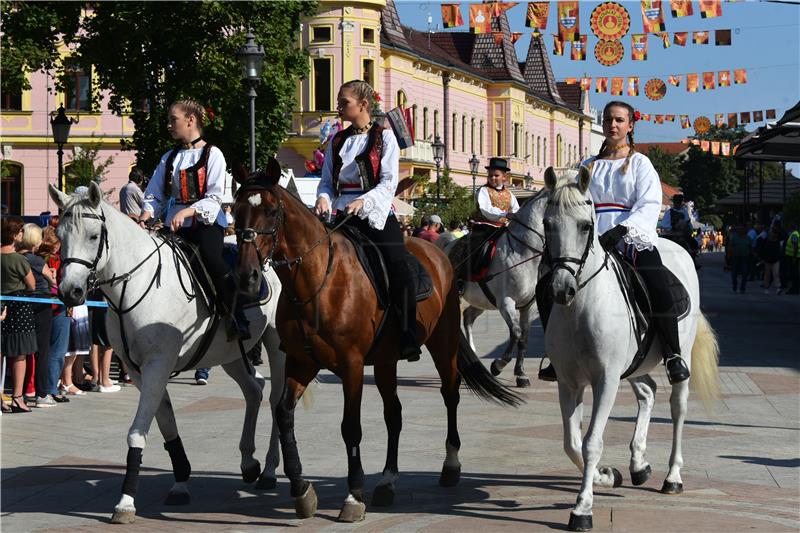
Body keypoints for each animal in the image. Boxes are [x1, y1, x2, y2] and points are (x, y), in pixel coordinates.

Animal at [49, 184, 288, 524]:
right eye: (60, 234)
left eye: (94, 236)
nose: (70, 292)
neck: (135, 286)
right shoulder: (139, 370)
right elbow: (166, 423)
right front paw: (181, 481)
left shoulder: (157, 365)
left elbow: (137, 432)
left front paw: (125, 501)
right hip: (230, 354)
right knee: (254, 390)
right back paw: (248, 462)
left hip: (277, 346)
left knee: (277, 400)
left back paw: (267, 470)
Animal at [233, 157, 520, 520]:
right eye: (236, 211)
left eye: (271, 212)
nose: (247, 277)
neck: (318, 281)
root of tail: (438, 251)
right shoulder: (302, 361)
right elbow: (284, 415)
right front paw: (302, 490)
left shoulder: (352, 365)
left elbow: (350, 427)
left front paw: (353, 496)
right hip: (385, 360)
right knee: (393, 414)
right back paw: (387, 481)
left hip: (442, 343)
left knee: (450, 394)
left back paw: (450, 465)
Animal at [444, 189, 552, 384]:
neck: (523, 252)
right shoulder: (506, 302)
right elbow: (516, 333)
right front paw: (498, 366)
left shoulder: (528, 306)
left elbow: (524, 338)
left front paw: (521, 373)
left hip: (482, 301)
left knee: (468, 316)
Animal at [540, 168, 720, 528]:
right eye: (547, 224)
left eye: (586, 226)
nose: (560, 289)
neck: (580, 308)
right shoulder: (568, 382)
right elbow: (572, 443)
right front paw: (606, 477)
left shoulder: (606, 380)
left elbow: (591, 442)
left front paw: (582, 508)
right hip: (635, 365)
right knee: (648, 392)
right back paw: (639, 465)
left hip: (678, 356)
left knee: (678, 408)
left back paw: (672, 477)